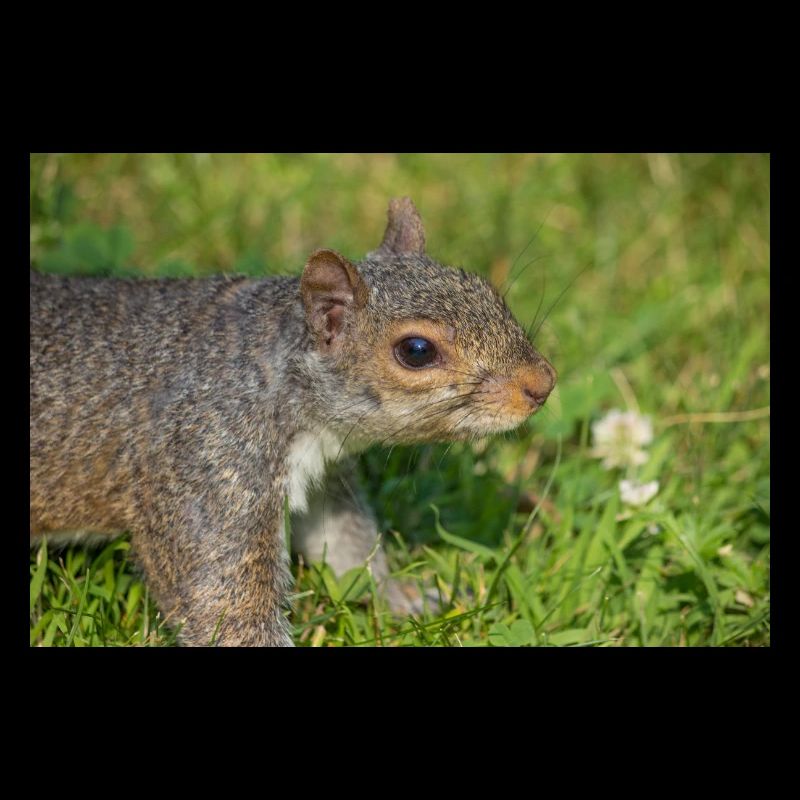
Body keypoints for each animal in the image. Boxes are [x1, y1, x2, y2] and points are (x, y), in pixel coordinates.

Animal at [29, 197, 556, 646]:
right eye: (416, 350)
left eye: (484, 288)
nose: (542, 384)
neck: (274, 372)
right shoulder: (204, 468)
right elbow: (221, 601)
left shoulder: (324, 476)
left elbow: (345, 547)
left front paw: (406, 599)